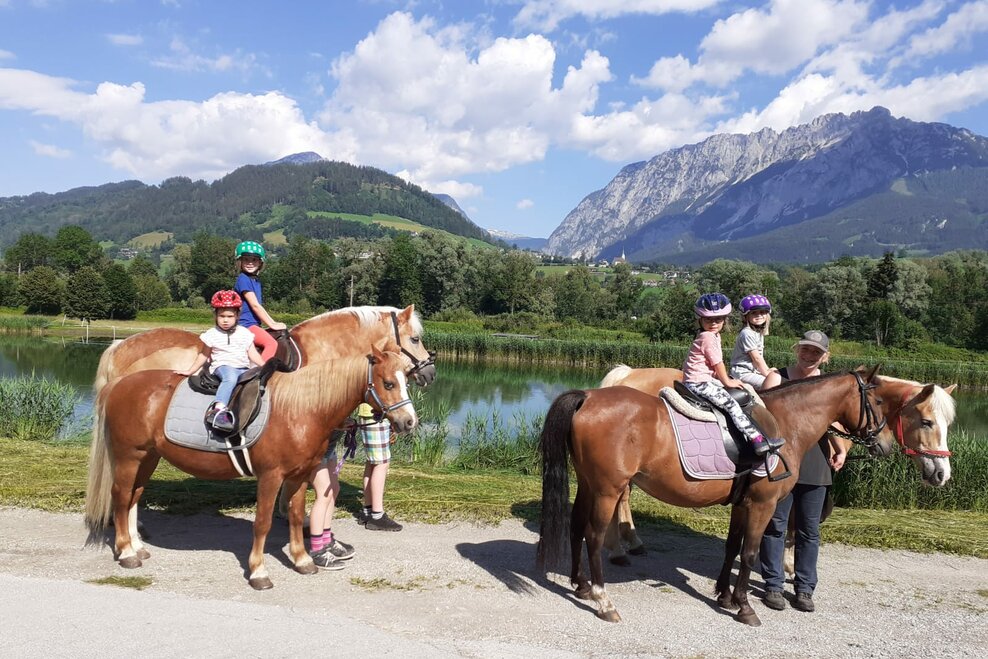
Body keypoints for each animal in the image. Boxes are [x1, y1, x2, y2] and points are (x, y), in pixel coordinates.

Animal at [86, 348, 420, 592]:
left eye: (405, 380)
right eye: (388, 383)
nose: (409, 422)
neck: (300, 409)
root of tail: (119, 384)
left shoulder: (299, 477)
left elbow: (296, 517)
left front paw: (302, 560)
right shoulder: (271, 477)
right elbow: (262, 523)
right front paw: (259, 571)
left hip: (148, 458)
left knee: (133, 497)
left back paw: (137, 546)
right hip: (129, 457)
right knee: (121, 497)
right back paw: (126, 553)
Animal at [536, 368, 892, 628]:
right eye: (877, 402)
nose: (887, 443)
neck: (784, 421)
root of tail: (587, 397)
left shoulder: (742, 504)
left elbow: (732, 546)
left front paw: (724, 596)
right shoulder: (762, 505)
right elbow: (749, 553)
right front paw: (745, 607)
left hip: (588, 484)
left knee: (576, 528)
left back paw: (581, 585)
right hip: (607, 490)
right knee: (593, 537)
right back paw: (603, 600)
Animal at [596, 364, 956, 564]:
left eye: (948, 423)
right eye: (926, 422)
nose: (942, 473)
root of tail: (627, 374)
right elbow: (790, 530)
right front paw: (785, 569)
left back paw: (628, 544)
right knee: (620, 497)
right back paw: (623, 547)